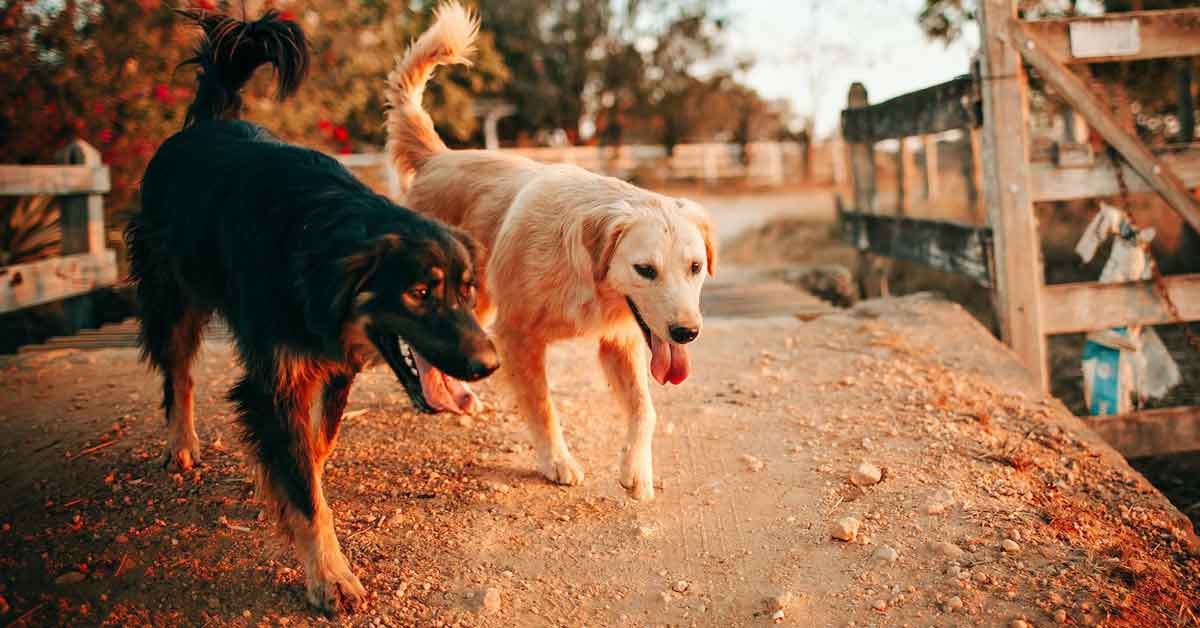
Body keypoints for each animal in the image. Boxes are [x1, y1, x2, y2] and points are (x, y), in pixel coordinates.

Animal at [124, 8, 494, 614]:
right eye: (419, 293)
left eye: (466, 291)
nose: (489, 365)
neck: (322, 246)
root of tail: (206, 123)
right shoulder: (274, 381)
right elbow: (301, 486)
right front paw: (330, 575)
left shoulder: (335, 366)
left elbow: (314, 452)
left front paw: (290, 488)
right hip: (172, 296)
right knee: (178, 374)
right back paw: (181, 445)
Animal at [388, 1, 715, 501]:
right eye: (645, 270)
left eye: (695, 267)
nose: (686, 333)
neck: (585, 274)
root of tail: (437, 156)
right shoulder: (517, 336)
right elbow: (543, 407)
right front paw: (556, 460)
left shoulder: (620, 341)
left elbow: (646, 410)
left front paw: (636, 470)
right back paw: (440, 395)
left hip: (480, 300)